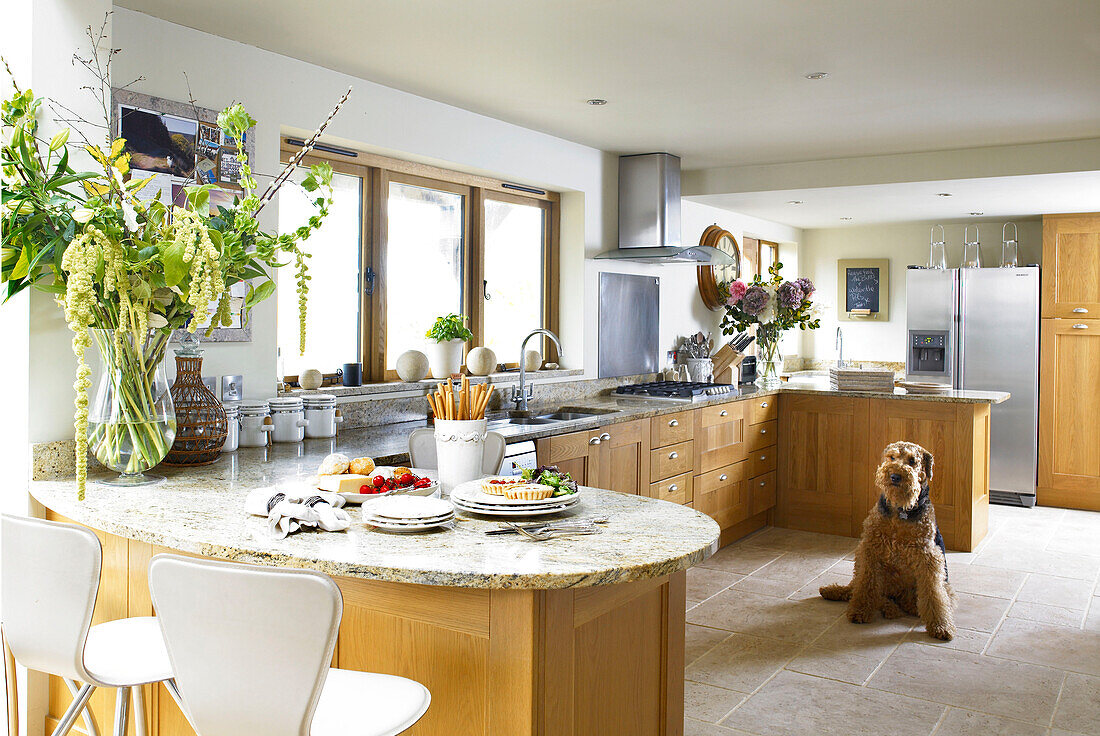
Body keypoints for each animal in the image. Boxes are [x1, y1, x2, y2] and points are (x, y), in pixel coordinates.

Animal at [822, 440, 959, 638]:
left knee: (921, 599)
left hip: (944, 586)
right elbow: (866, 584)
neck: (899, 510)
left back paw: (905, 608)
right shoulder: (871, 546)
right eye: (892, 457)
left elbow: (933, 593)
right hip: (862, 558)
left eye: (912, 461)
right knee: (860, 588)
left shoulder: (928, 556)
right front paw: (859, 611)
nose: (894, 476)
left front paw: (941, 626)